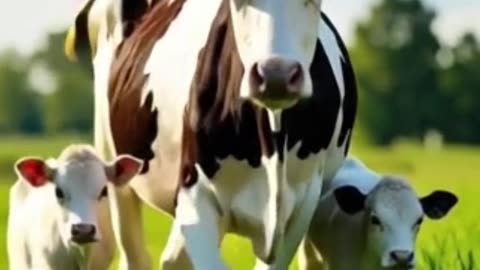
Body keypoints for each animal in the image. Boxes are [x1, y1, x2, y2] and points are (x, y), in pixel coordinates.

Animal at [62, 0, 356, 270]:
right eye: (240, 2)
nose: (276, 74)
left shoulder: (301, 207)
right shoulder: (196, 193)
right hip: (114, 167)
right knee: (138, 254)